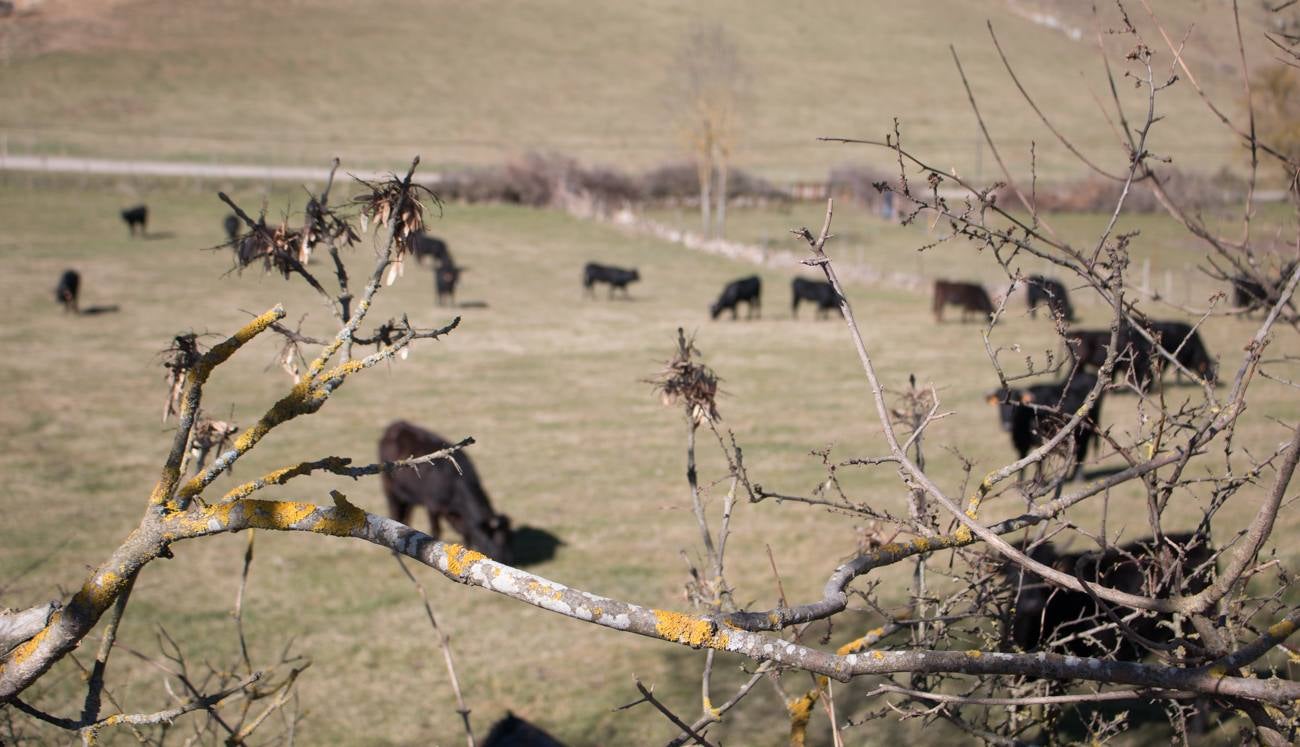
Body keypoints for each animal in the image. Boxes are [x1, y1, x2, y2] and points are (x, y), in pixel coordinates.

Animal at [377, 423, 512, 563]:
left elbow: (466, 533)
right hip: (389, 489)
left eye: (507, 537)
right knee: (394, 512)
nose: (506, 559)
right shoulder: (432, 505)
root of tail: (395, 425)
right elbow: (436, 530)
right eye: (493, 537)